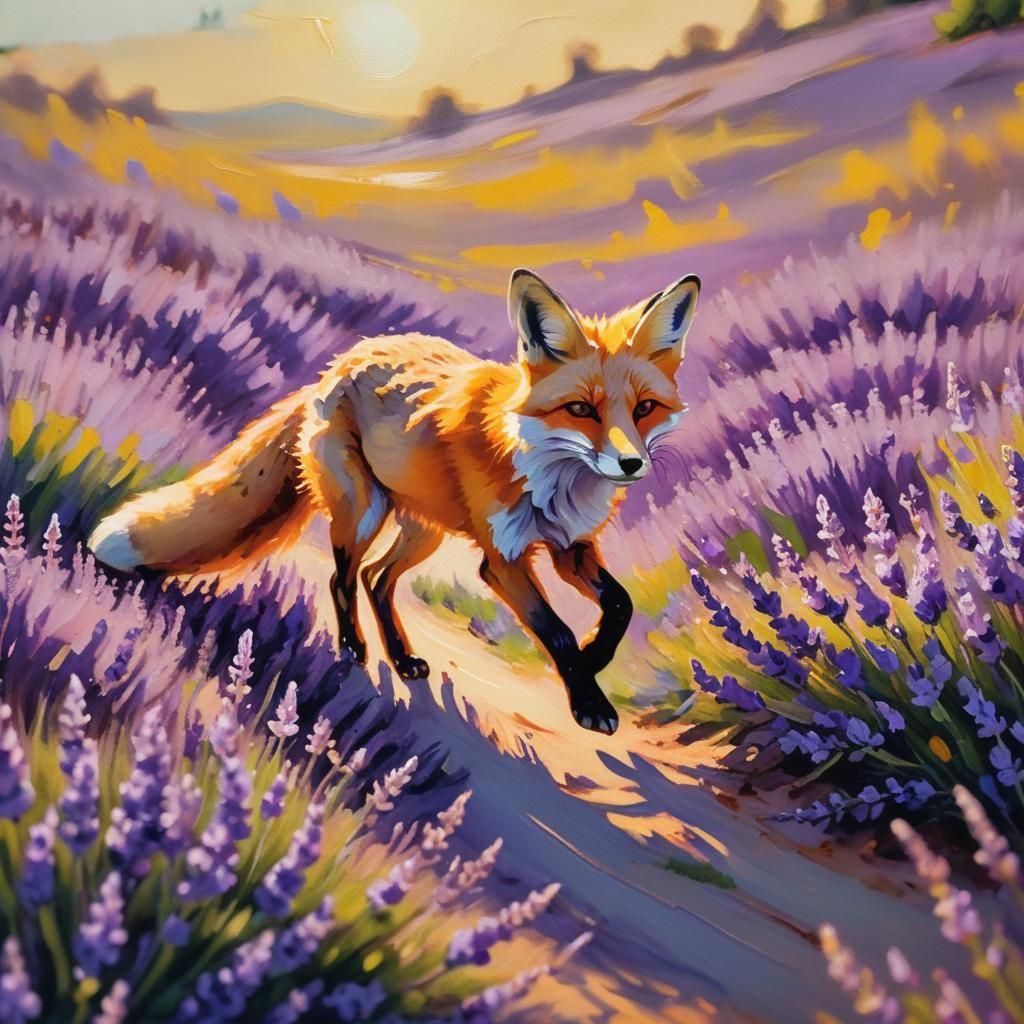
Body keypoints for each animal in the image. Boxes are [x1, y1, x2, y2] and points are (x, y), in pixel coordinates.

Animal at [88, 268, 700, 735]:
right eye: (581, 410)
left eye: (643, 409)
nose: (631, 464)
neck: (549, 473)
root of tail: (335, 366)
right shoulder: (501, 560)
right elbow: (557, 631)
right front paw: (588, 698)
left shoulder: (572, 546)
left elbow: (619, 605)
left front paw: (596, 657)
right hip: (364, 513)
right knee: (343, 579)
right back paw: (353, 648)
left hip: (422, 529)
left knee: (376, 579)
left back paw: (402, 657)